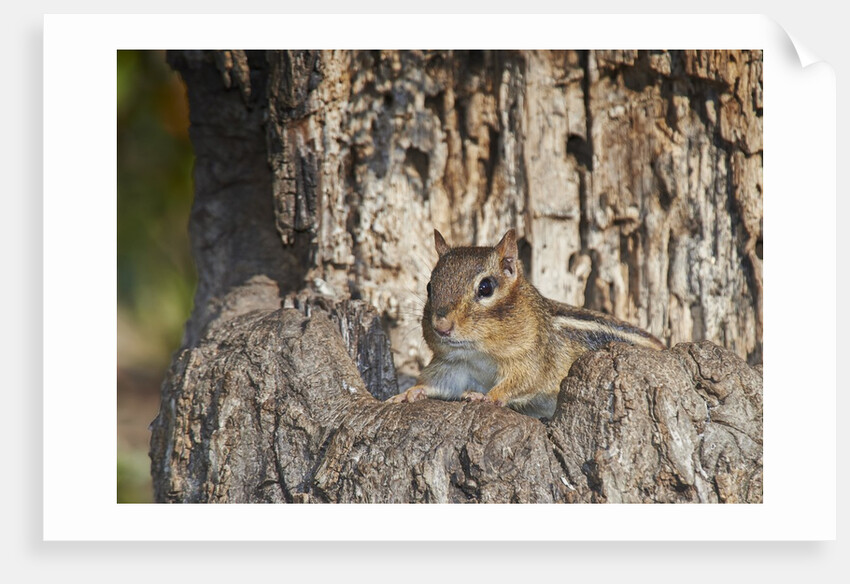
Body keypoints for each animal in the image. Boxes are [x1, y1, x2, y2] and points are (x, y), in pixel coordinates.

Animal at [386, 228, 665, 418]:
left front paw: (486, 397)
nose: (442, 327)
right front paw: (409, 392)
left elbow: (521, 381)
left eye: (485, 288)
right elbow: (437, 382)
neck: (479, 354)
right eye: (429, 287)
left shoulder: (532, 359)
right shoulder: (453, 366)